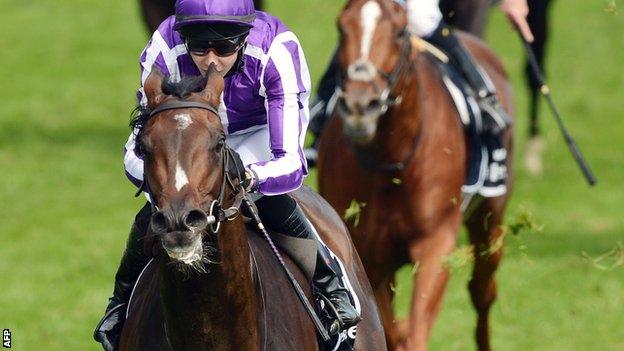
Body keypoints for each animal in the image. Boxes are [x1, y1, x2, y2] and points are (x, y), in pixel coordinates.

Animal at [320, 0, 516, 351]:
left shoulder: (435, 242)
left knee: (482, 291)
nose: (360, 106)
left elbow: (414, 332)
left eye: (399, 32)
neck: (393, 162)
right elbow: (392, 330)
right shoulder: (368, 257)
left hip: (490, 219)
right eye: (342, 27)